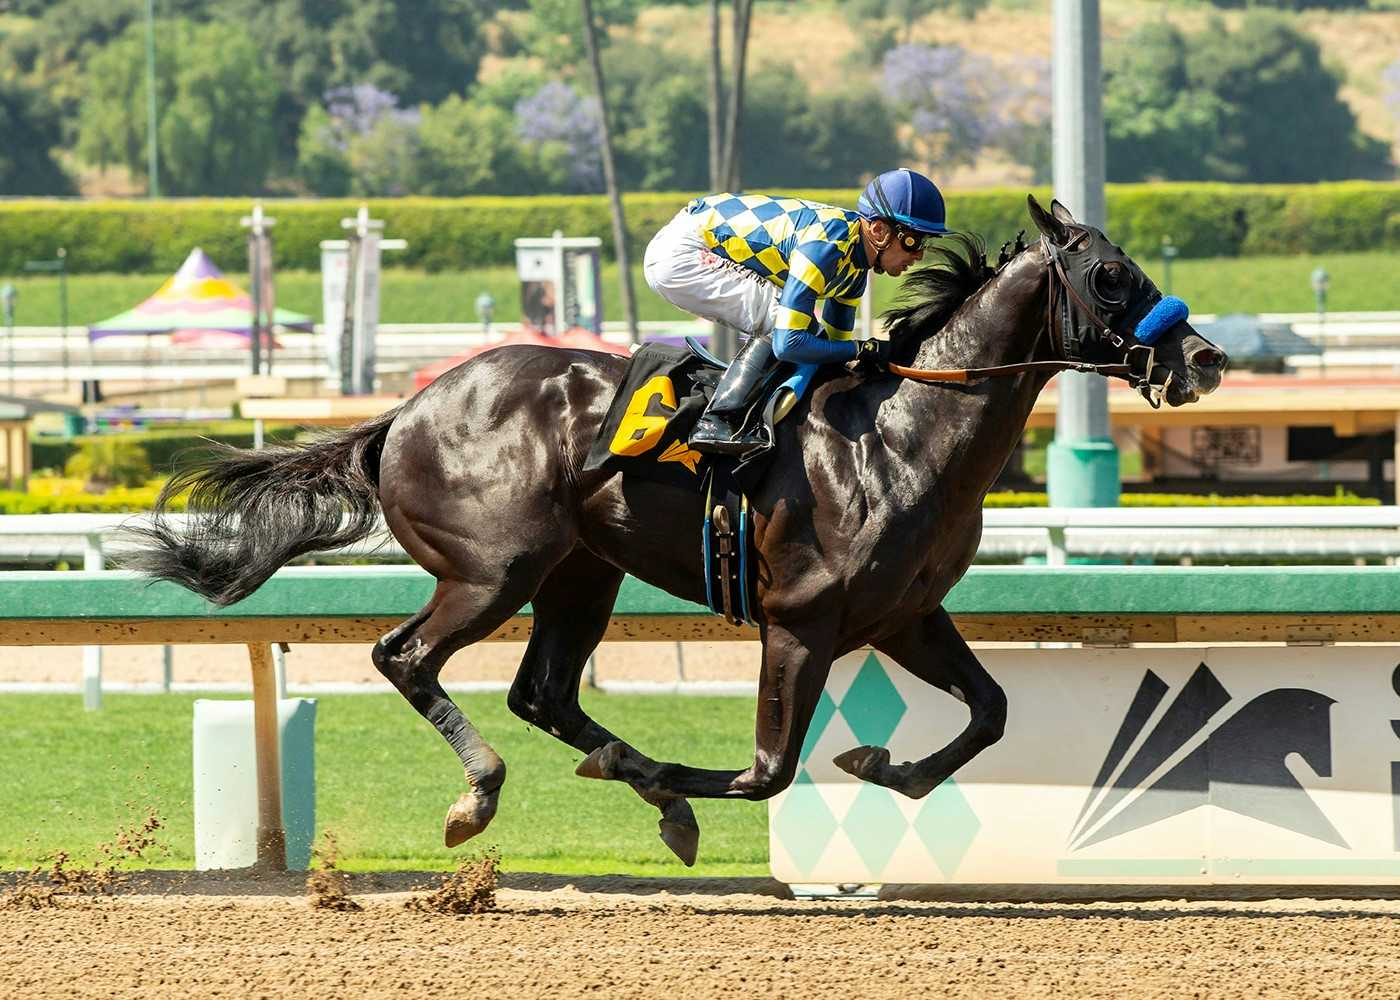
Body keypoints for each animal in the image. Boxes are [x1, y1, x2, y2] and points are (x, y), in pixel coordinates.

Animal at [131, 198, 1226, 862]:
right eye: (1112, 276)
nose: (1205, 358)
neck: (907, 434)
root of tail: (405, 409)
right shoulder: (801, 618)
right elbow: (768, 770)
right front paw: (691, 784)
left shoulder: (905, 616)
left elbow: (991, 711)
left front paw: (883, 766)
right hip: (494, 570)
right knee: (407, 658)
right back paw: (480, 794)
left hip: (580, 574)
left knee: (541, 691)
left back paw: (623, 771)